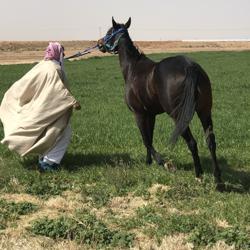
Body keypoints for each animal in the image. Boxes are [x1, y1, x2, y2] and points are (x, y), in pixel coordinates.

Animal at [97, 17, 223, 185]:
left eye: (109, 32)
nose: (99, 44)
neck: (133, 68)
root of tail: (190, 66)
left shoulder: (139, 114)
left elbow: (146, 140)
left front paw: (162, 162)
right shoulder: (151, 115)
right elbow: (150, 137)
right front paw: (149, 162)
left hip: (179, 116)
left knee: (192, 142)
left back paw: (199, 174)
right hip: (205, 112)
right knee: (210, 141)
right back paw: (218, 179)